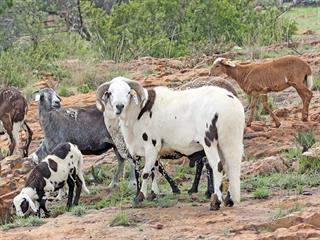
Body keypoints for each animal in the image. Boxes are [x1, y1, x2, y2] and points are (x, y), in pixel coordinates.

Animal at [95, 77, 245, 210]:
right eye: (110, 93)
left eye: (128, 92)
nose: (119, 106)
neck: (137, 113)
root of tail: (232, 104)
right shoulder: (143, 151)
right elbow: (153, 170)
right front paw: (152, 194)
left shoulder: (151, 146)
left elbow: (146, 172)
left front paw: (139, 197)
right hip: (229, 140)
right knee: (231, 166)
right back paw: (229, 199)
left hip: (210, 141)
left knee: (217, 166)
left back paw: (215, 201)